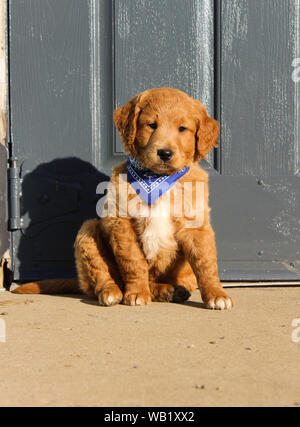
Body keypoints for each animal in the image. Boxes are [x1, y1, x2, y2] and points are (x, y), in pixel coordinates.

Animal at [12, 88, 233, 312]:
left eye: (182, 129)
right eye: (151, 125)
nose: (165, 153)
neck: (156, 179)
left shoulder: (196, 226)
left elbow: (206, 263)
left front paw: (217, 294)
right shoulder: (121, 223)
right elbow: (133, 262)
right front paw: (137, 293)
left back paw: (171, 290)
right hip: (88, 230)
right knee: (101, 277)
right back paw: (112, 292)